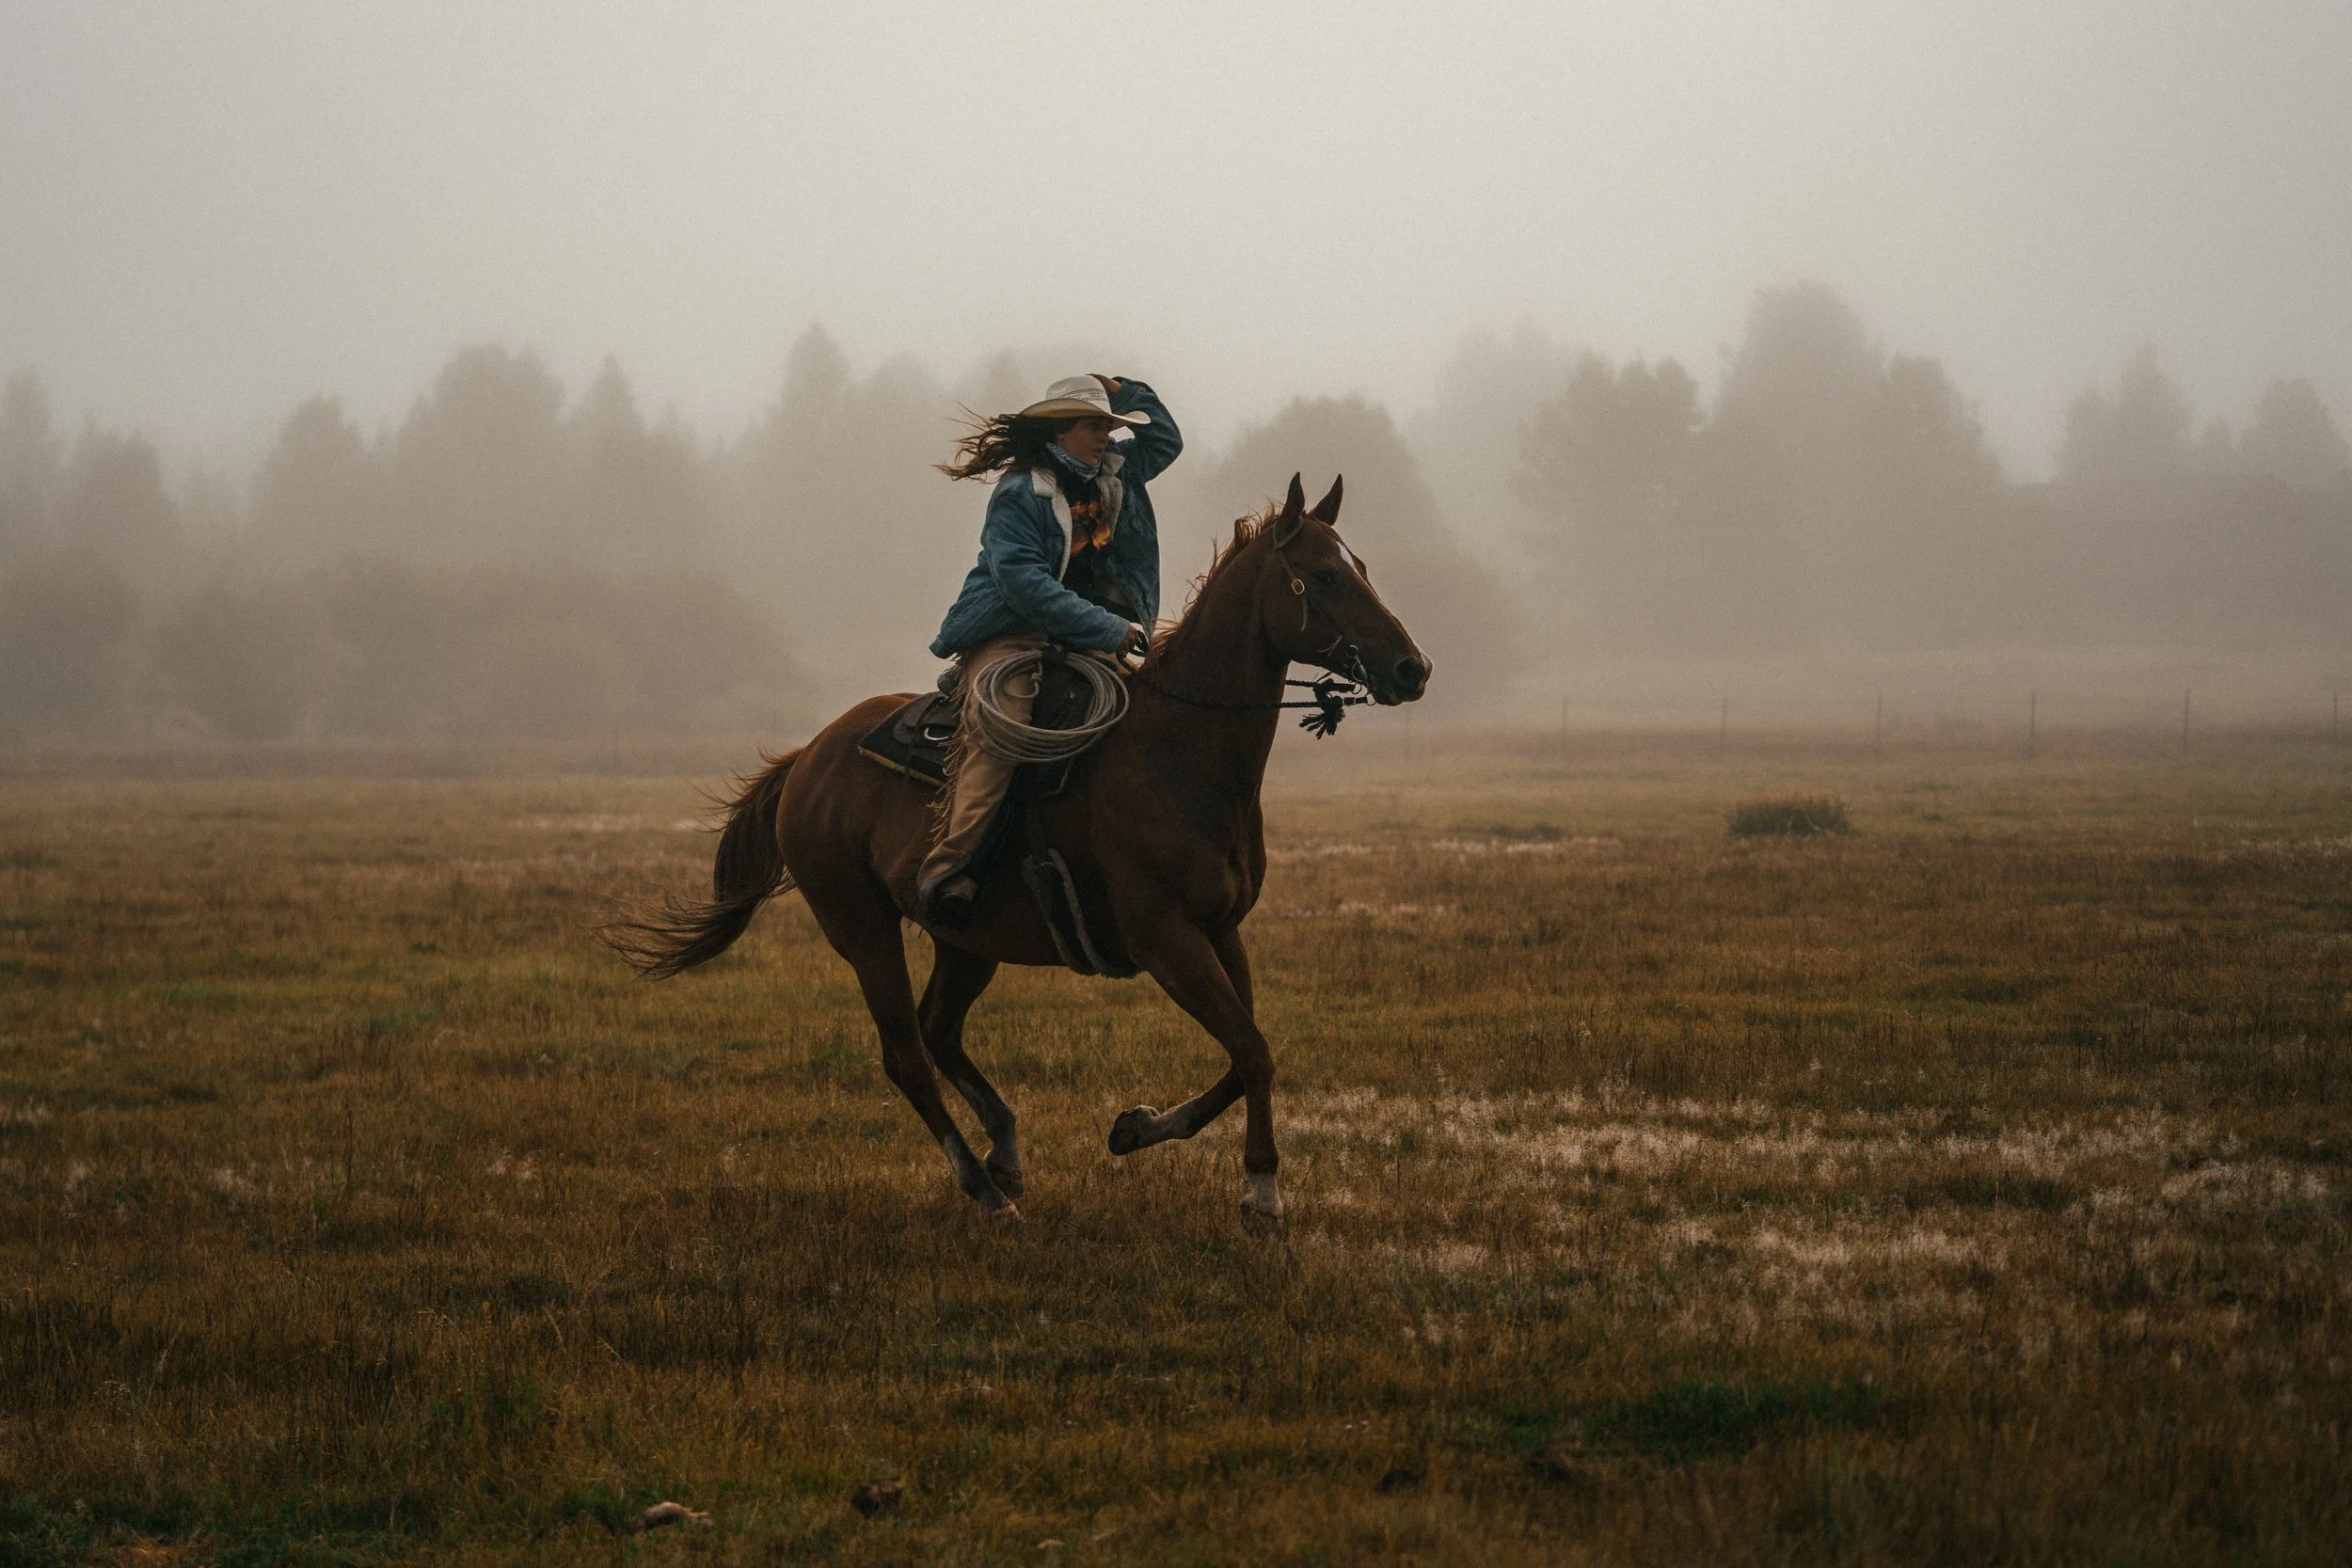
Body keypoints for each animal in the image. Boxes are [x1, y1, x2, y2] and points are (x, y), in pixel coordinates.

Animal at [608, 474, 1429, 1228]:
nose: (1411, 668)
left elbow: (1246, 1050)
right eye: (1323, 575)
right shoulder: (1166, 939)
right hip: (862, 929)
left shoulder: (1221, 931)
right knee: (907, 1054)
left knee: (939, 1029)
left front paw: (1137, 1127)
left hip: (967, 939)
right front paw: (1261, 1194)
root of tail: (807, 757)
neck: (1173, 753)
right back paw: (984, 1188)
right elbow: (1252, 1050)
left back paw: (1004, 1149)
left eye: (1359, 564)